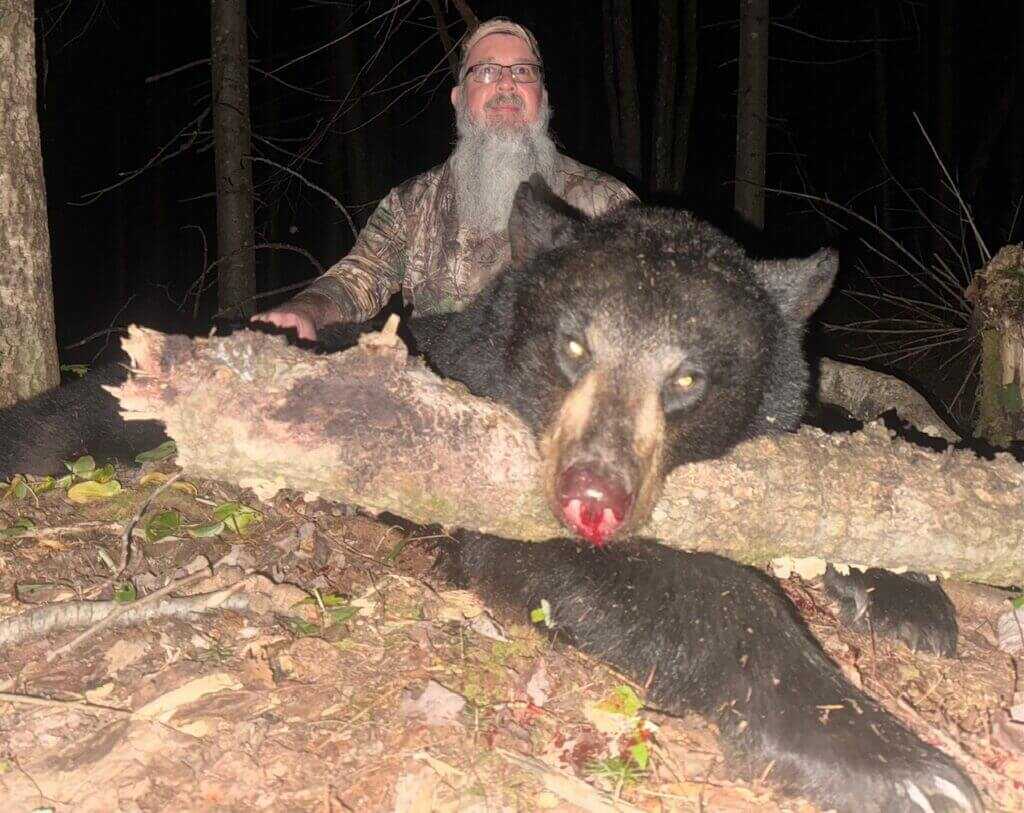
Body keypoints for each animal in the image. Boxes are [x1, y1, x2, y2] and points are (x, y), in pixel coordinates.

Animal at [0, 180, 978, 811]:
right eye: (575, 345)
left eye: (688, 376)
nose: (593, 494)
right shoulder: (492, 476)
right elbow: (663, 586)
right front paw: (891, 758)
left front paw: (907, 589)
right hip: (117, 403)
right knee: (62, 423)